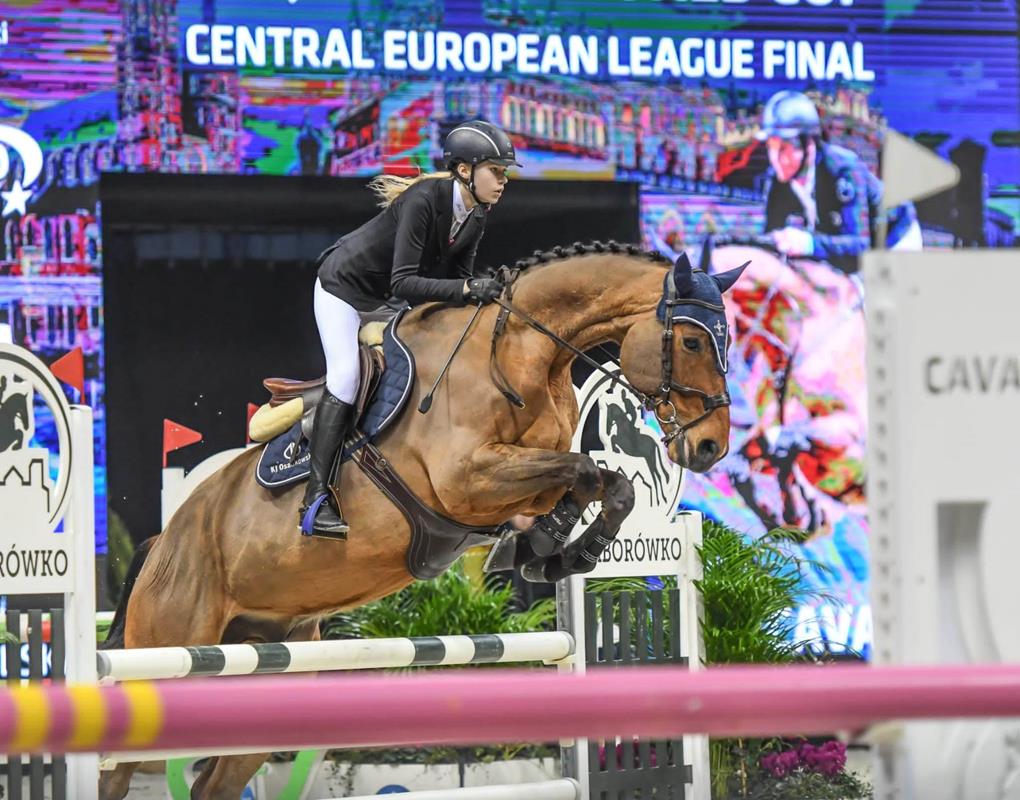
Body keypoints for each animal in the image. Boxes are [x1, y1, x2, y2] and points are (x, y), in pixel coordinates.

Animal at [99, 242, 746, 799]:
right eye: (693, 341)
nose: (711, 447)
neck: (521, 353)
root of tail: (163, 541)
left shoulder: (519, 478)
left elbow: (608, 484)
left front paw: (555, 551)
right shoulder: (468, 480)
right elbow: (587, 470)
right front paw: (550, 550)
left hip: (268, 666)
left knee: (214, 784)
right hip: (165, 655)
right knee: (117, 769)